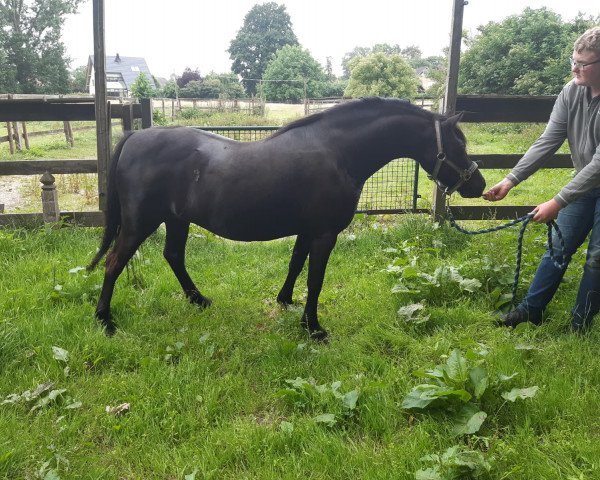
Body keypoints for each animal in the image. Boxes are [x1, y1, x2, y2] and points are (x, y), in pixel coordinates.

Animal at [88, 96, 482, 342]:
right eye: (459, 144)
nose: (477, 184)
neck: (338, 153)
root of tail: (135, 136)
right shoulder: (324, 234)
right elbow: (315, 280)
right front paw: (313, 327)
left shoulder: (308, 231)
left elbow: (295, 265)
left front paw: (286, 301)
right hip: (140, 223)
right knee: (114, 262)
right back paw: (105, 320)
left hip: (176, 220)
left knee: (173, 256)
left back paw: (198, 300)